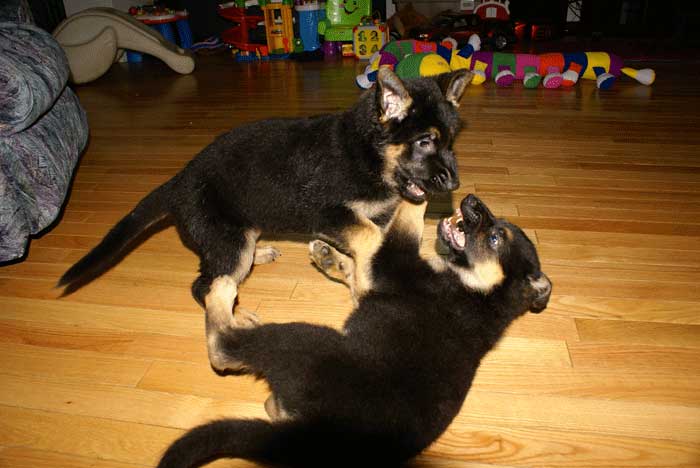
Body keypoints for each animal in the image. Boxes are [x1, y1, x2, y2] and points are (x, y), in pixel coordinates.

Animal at [157, 194, 552, 468]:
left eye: (496, 237)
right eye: (496, 223)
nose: (470, 200)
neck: (481, 294)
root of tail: (320, 433)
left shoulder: (393, 267)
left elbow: (401, 227)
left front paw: (416, 189)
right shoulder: (374, 281)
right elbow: (356, 269)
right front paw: (331, 258)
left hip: (304, 340)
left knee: (222, 348)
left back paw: (224, 295)